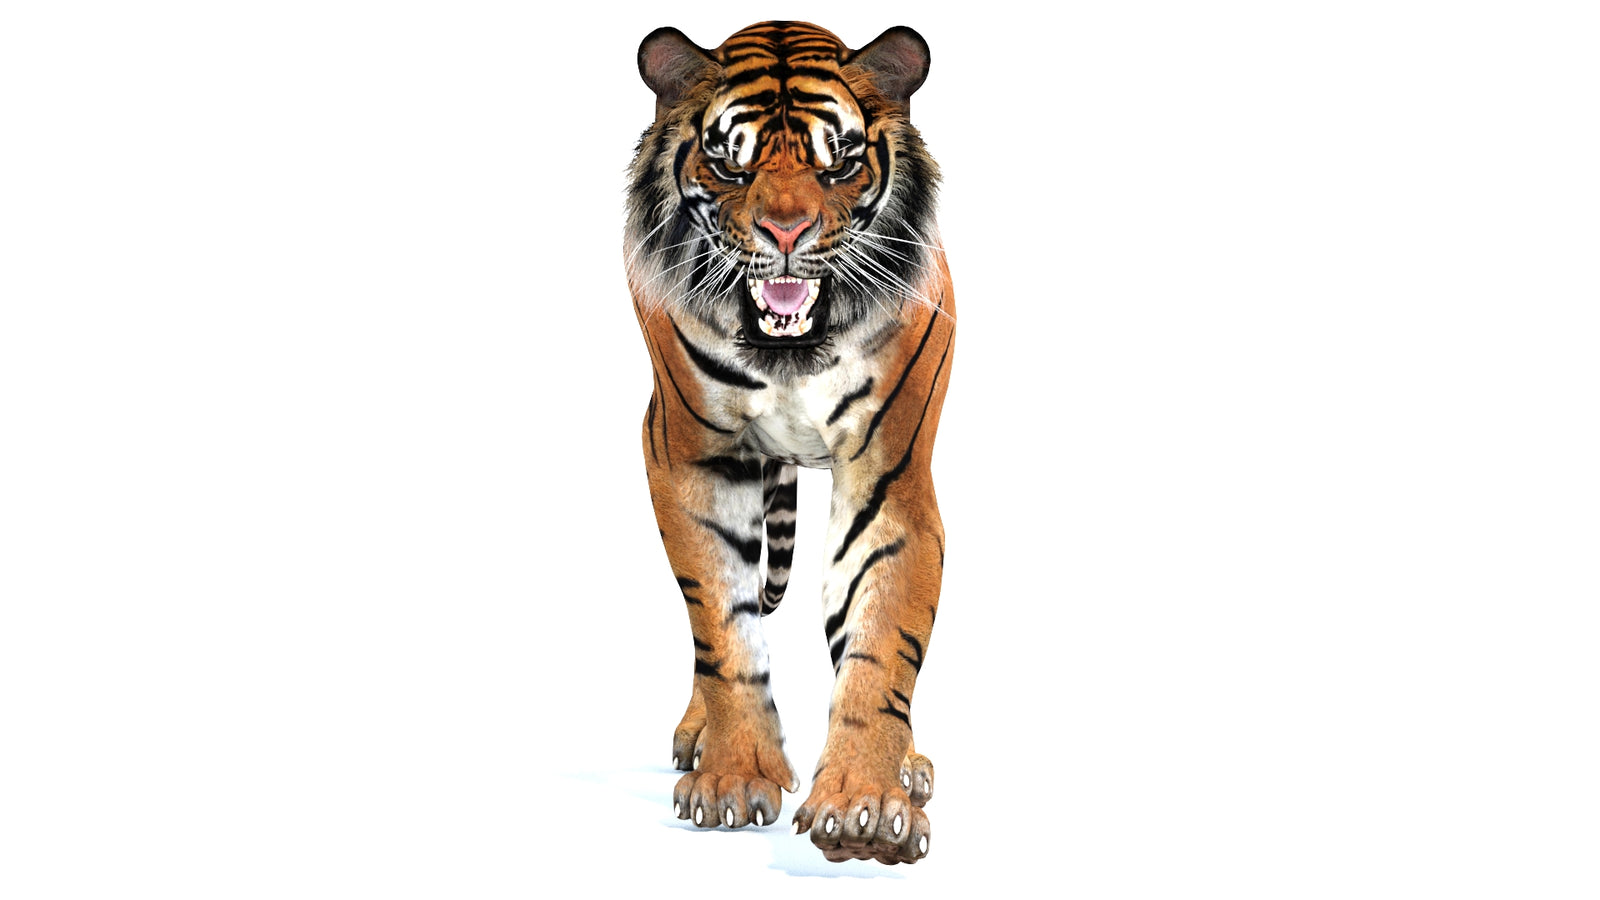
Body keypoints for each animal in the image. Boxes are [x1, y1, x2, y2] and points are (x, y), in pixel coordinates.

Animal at [625, 21, 955, 865]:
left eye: (837, 161)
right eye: (729, 162)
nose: (784, 232)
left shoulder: (887, 474)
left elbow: (881, 641)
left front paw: (868, 806)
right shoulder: (691, 460)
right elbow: (722, 628)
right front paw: (735, 776)